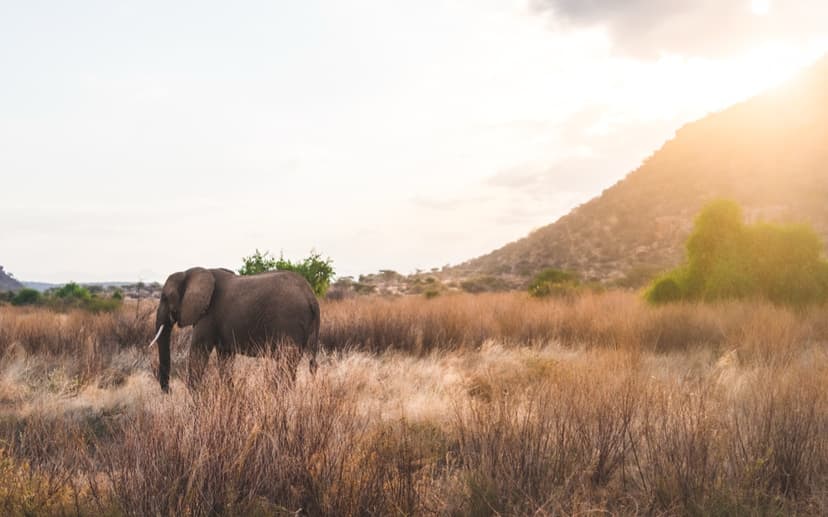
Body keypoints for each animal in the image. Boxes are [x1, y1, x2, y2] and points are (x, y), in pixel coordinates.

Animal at [149, 267, 320, 392]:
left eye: (165, 297)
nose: (169, 391)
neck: (190, 272)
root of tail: (311, 296)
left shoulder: (208, 314)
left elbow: (199, 351)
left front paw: (196, 394)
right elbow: (225, 358)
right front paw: (229, 392)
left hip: (289, 320)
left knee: (286, 361)